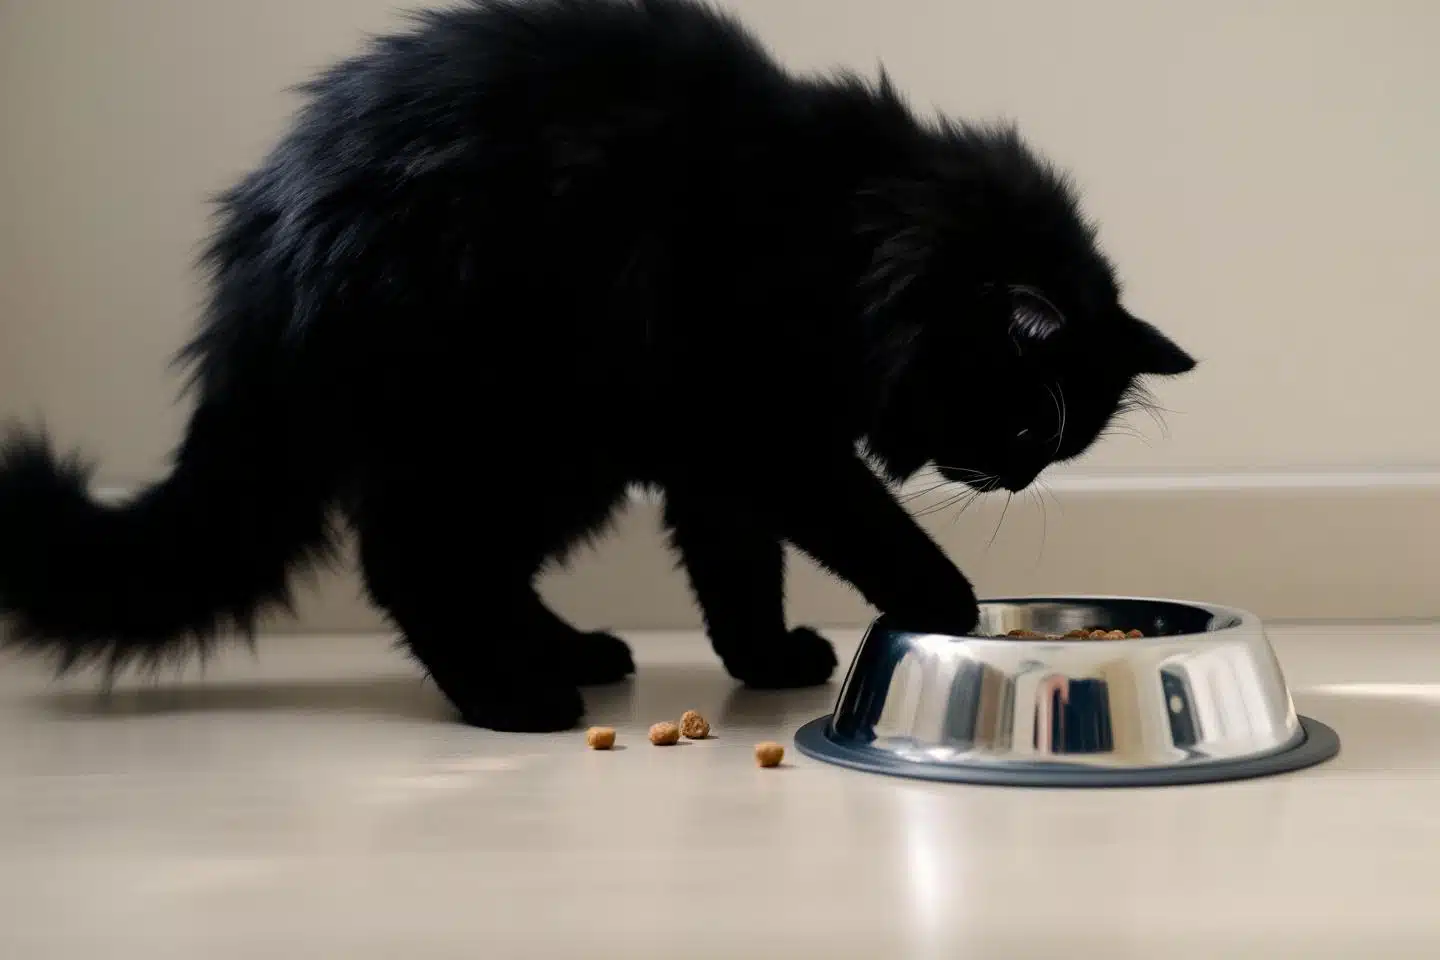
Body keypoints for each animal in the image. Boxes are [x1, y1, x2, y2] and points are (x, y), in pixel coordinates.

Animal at [0, 0, 1195, 732]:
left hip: (563, 453)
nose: (1016, 478)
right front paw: (948, 606)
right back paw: (512, 696)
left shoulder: (719, 459)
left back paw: (568, 653)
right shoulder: (764, 431)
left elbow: (737, 571)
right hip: (518, 425)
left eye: (1055, 446)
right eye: (1028, 423)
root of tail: (265, 251)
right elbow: (866, 532)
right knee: (412, 563)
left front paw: (766, 660)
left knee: (469, 566)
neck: (846, 227)